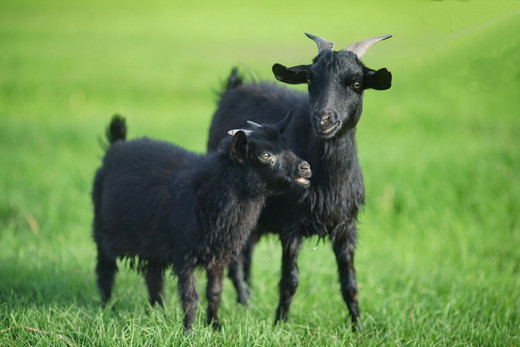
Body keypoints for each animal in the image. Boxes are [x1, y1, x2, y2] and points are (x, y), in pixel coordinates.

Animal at [91, 115, 310, 332]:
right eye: (265, 155)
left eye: (285, 144)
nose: (305, 168)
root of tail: (116, 145)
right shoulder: (184, 255)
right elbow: (190, 297)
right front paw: (189, 330)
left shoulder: (220, 255)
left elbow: (214, 293)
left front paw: (214, 325)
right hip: (102, 232)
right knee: (105, 270)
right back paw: (107, 306)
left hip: (151, 241)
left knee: (153, 277)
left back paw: (158, 310)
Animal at [207, 32, 394, 328]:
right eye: (310, 80)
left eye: (356, 83)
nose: (323, 119)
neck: (328, 183)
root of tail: (234, 88)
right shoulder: (290, 224)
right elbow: (290, 281)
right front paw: (280, 324)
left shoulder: (346, 226)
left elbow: (350, 283)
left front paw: (358, 327)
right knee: (235, 255)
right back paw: (244, 299)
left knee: (247, 250)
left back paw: (248, 299)